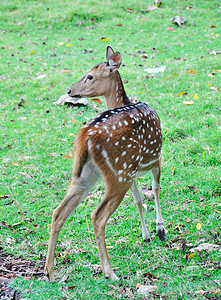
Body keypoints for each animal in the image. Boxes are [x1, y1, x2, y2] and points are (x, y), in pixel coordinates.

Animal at [44, 46, 164, 282]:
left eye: (90, 76)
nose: (70, 90)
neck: (125, 101)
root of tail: (85, 137)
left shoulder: (136, 170)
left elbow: (139, 198)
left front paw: (147, 234)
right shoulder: (155, 158)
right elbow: (155, 189)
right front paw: (160, 230)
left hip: (86, 174)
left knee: (58, 212)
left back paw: (49, 272)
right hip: (118, 173)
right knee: (97, 217)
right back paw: (110, 272)